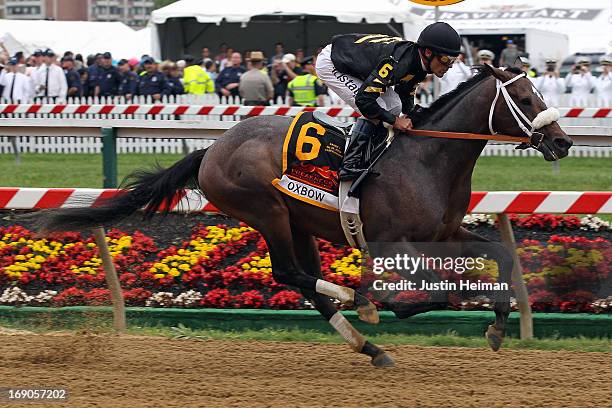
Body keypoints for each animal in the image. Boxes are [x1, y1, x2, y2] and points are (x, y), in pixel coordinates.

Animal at [37, 64, 572, 366]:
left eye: (541, 94)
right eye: (526, 99)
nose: (563, 142)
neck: (429, 159)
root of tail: (212, 149)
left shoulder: (443, 232)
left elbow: (501, 255)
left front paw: (499, 326)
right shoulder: (395, 244)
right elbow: (431, 292)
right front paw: (389, 303)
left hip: (298, 224)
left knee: (304, 281)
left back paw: (370, 347)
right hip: (266, 210)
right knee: (289, 272)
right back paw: (358, 304)